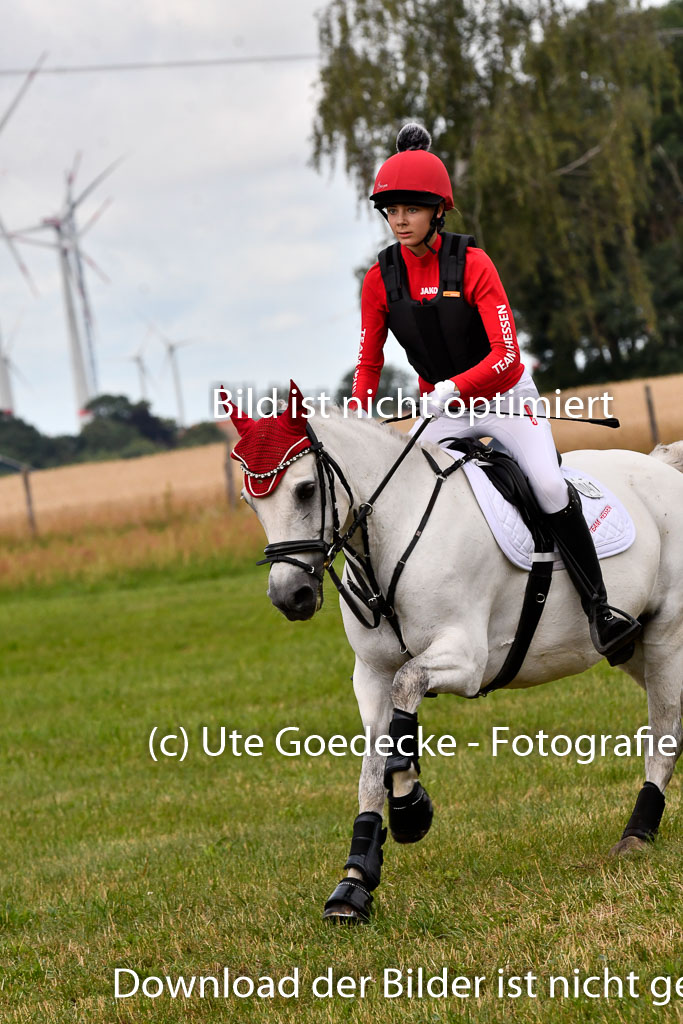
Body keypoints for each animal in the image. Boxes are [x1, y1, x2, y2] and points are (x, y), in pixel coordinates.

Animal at [232, 391, 679, 921]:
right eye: (251, 502)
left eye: (303, 490)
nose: (290, 597)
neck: (396, 529)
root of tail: (662, 467)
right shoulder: (371, 676)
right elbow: (372, 768)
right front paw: (354, 884)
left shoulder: (466, 661)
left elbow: (407, 690)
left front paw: (410, 809)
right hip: (633, 648)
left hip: (666, 637)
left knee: (665, 735)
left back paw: (637, 834)